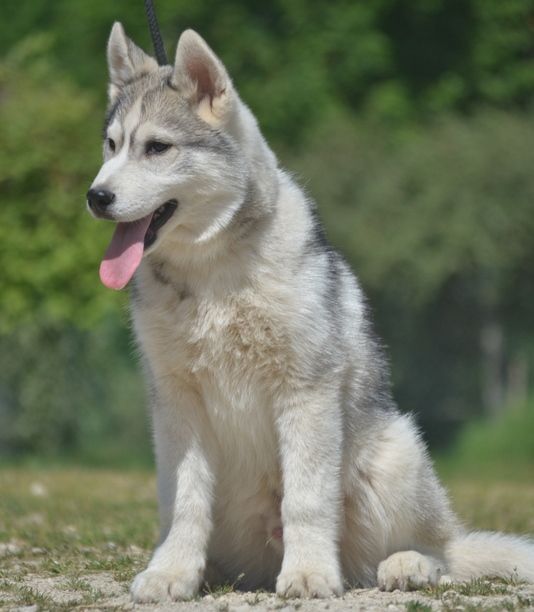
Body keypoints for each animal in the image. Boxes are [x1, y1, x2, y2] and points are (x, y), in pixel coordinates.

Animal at [88, 22, 534, 604]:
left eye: (157, 148)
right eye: (111, 145)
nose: (96, 196)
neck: (214, 272)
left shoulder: (305, 390)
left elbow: (305, 499)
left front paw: (308, 574)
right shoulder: (175, 401)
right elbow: (184, 501)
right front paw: (171, 573)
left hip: (398, 451)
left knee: (441, 551)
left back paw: (407, 565)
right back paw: (208, 571)